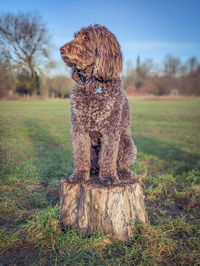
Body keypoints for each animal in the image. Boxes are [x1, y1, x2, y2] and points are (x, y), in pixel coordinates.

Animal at [60, 25, 137, 186]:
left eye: (86, 37)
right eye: (76, 36)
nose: (61, 49)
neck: (93, 83)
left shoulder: (110, 129)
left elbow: (108, 155)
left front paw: (108, 177)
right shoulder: (79, 128)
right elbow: (81, 155)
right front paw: (79, 175)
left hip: (126, 143)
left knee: (121, 162)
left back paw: (122, 173)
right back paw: (94, 171)